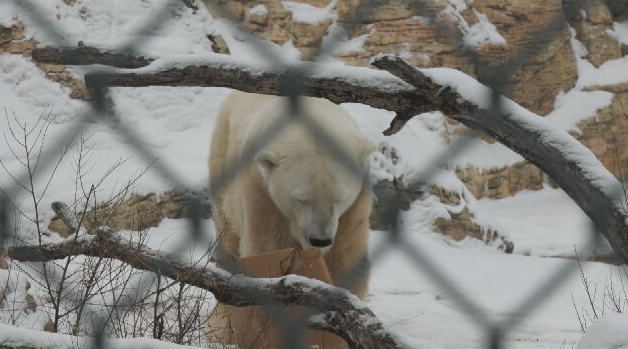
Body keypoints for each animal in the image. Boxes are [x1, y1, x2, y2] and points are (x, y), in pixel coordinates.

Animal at [207, 91, 372, 294]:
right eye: (301, 199)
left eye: (339, 198)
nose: (320, 240)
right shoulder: (261, 193)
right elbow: (266, 249)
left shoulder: (355, 206)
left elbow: (347, 254)